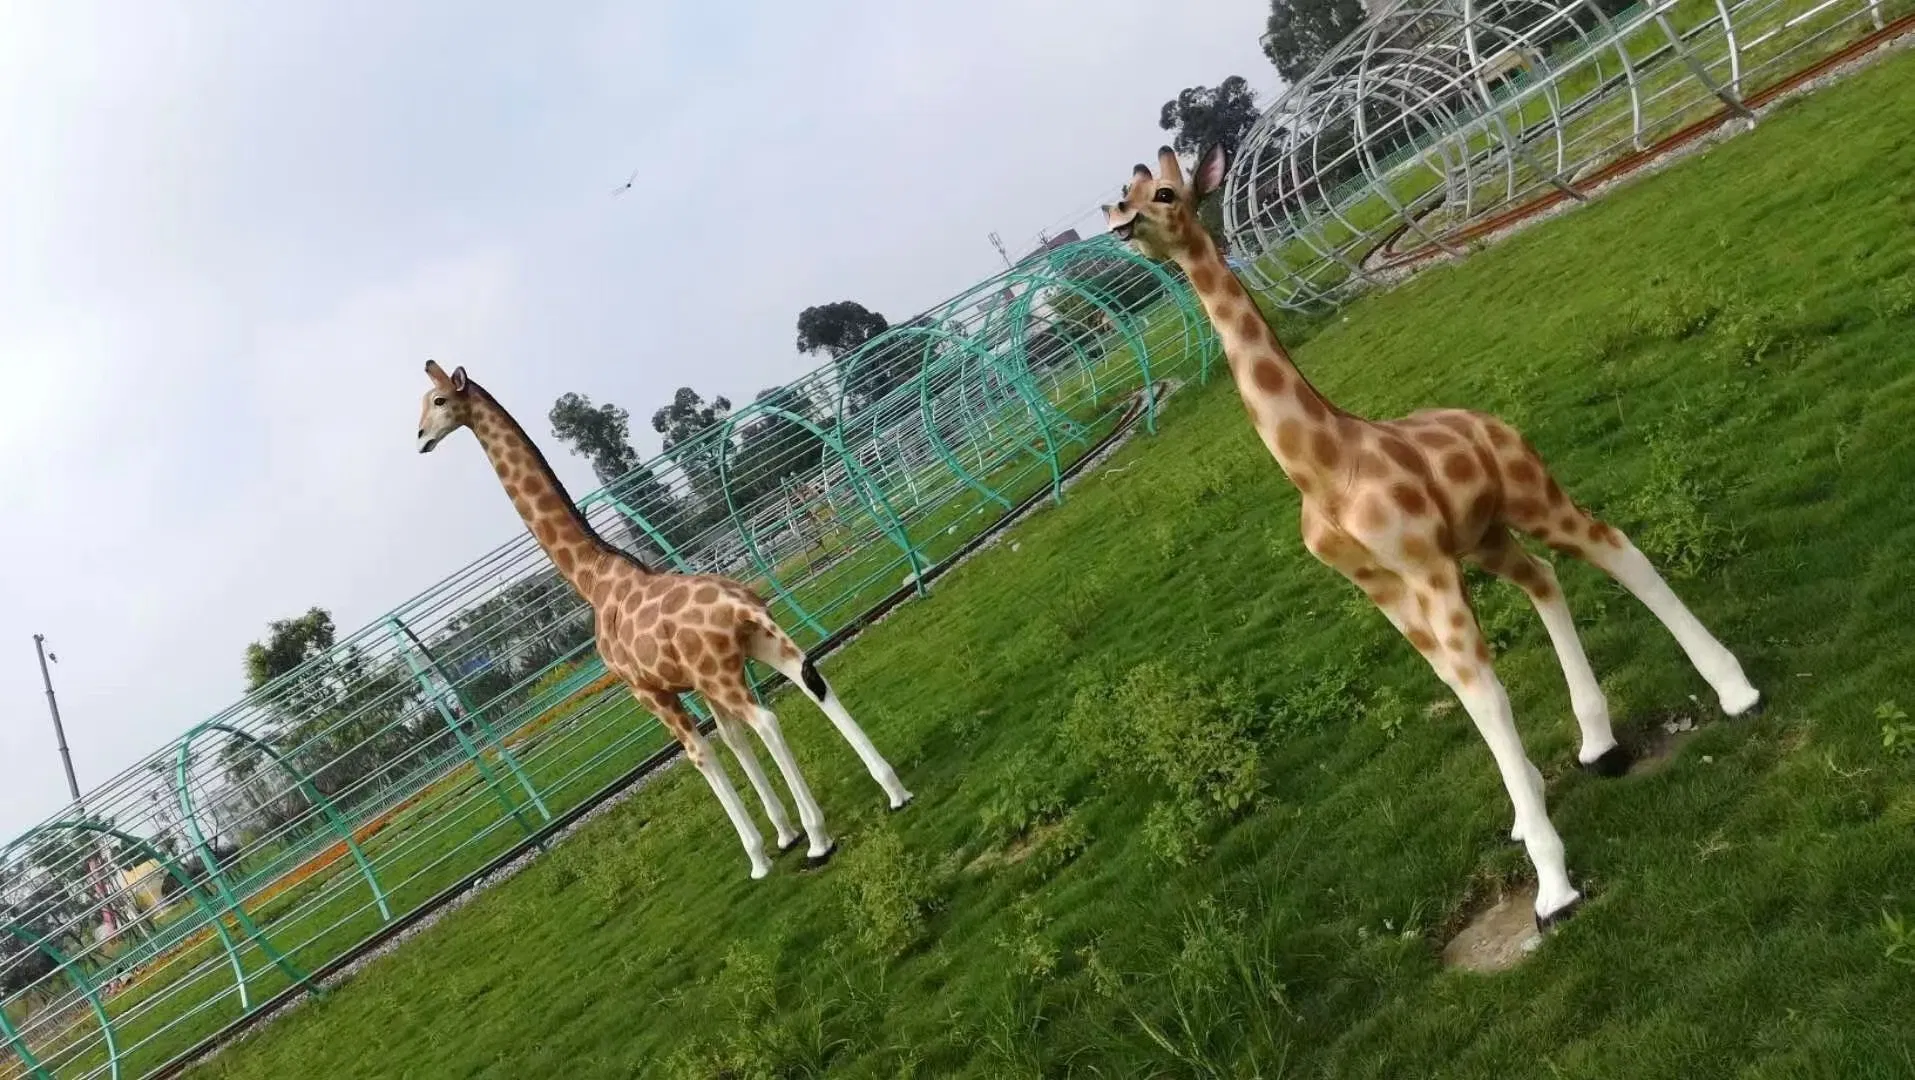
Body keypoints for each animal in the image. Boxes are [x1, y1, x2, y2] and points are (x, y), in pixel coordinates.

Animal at [415, 361, 913, 880]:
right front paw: (783, 833)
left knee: (767, 720)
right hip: (758, 648)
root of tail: (744, 606)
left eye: (438, 402)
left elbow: (701, 753)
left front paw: (760, 855)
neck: (592, 578)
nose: (420, 438)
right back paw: (894, 791)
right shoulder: (690, 681)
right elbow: (731, 739)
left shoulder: (648, 690)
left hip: (722, 674)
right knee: (812, 681)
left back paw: (820, 839)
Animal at [1103, 146, 1761, 928]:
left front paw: (1553, 885)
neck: (1322, 472)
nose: (1120, 222)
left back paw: (1736, 692)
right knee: (1543, 576)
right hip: (1485, 537)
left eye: (1165, 195)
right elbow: (1456, 686)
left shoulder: (1422, 565)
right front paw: (1528, 813)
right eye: (1123, 191)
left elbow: (1486, 693)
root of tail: (1495, 423)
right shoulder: (1379, 587)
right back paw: (1597, 742)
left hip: (1531, 497)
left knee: (1612, 544)